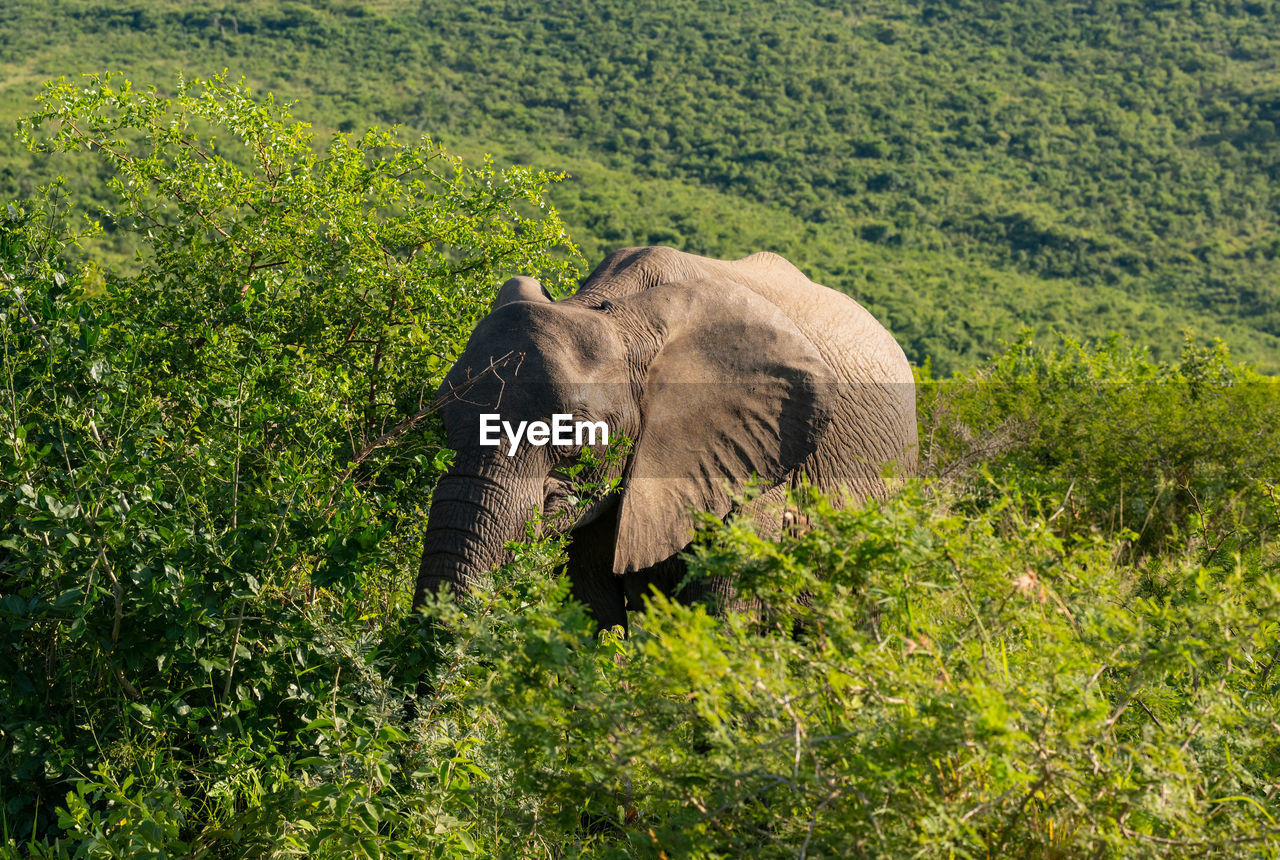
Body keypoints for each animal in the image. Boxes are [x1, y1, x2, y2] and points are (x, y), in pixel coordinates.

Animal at [414, 245, 916, 627]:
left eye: (571, 440)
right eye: (442, 424)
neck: (616, 311)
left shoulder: (758, 461)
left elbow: (722, 611)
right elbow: (589, 606)